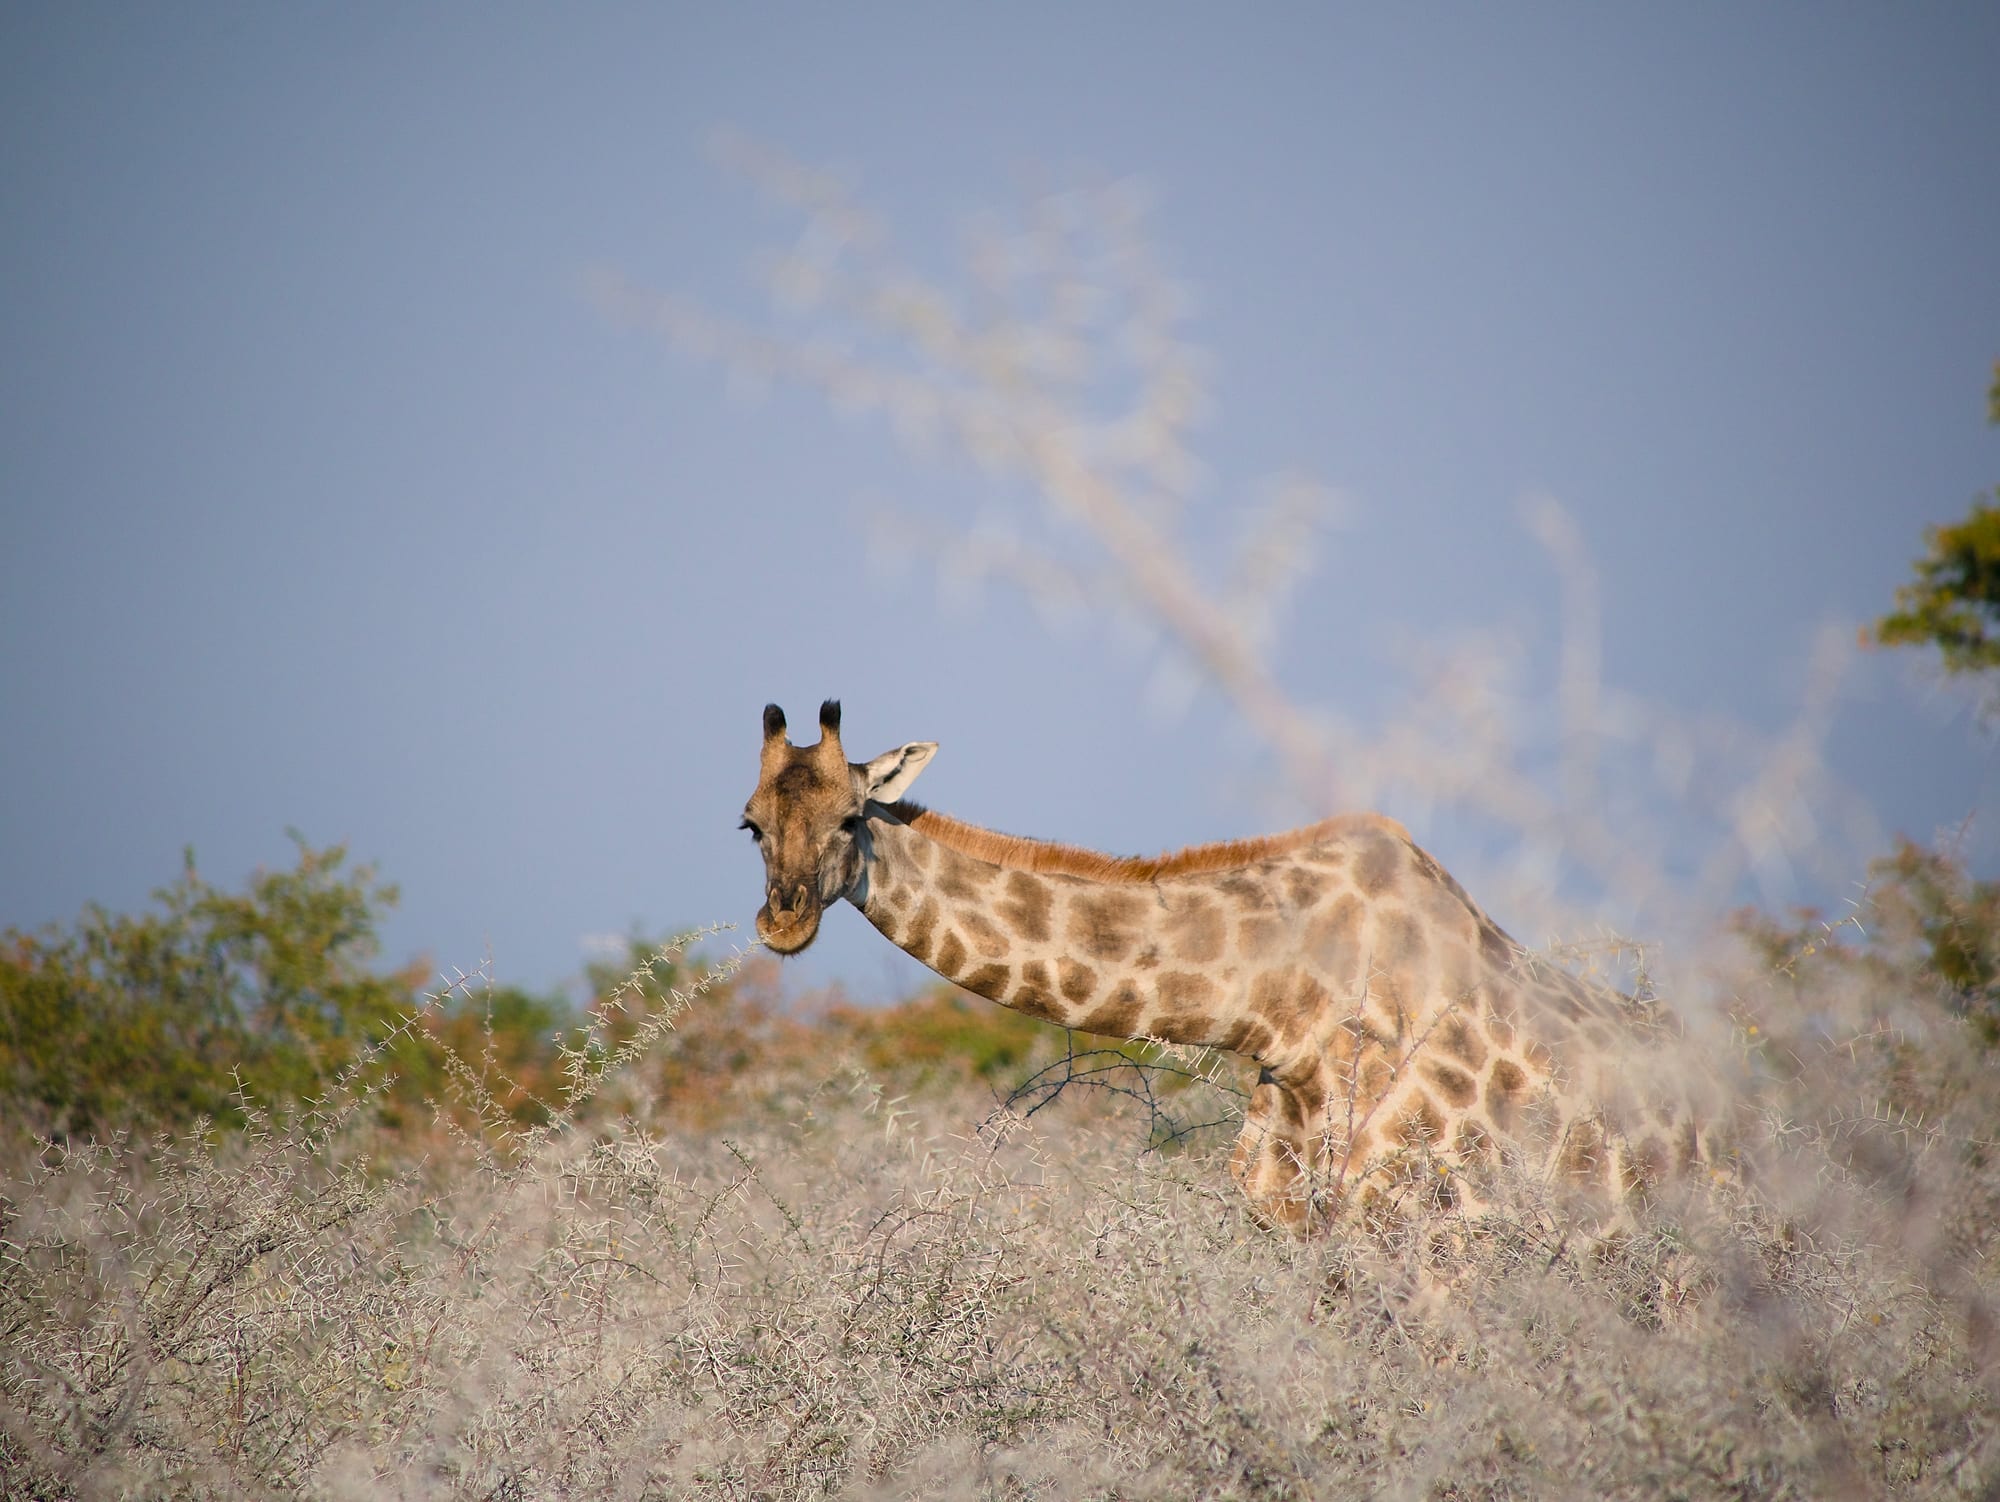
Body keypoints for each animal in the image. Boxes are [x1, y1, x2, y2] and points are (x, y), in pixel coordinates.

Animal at [743, 700, 1706, 1233]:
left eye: (849, 820)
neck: (1283, 1011)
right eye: (749, 824)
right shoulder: (1290, 1227)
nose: (783, 921)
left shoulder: (1443, 1246)